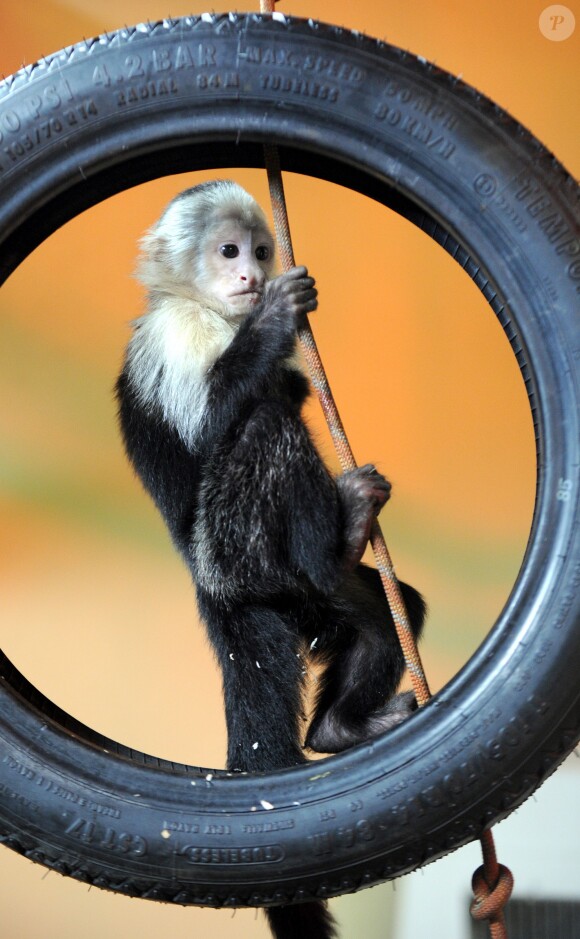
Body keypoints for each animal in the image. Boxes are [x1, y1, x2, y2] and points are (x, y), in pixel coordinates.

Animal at [115, 180, 425, 939]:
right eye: (229, 251)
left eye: (260, 250)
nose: (252, 276)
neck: (198, 305)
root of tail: (217, 589)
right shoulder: (180, 334)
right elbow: (218, 418)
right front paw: (276, 323)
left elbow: (285, 391)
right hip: (238, 549)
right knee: (260, 427)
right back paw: (339, 535)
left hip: (301, 596)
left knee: (379, 615)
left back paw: (340, 724)